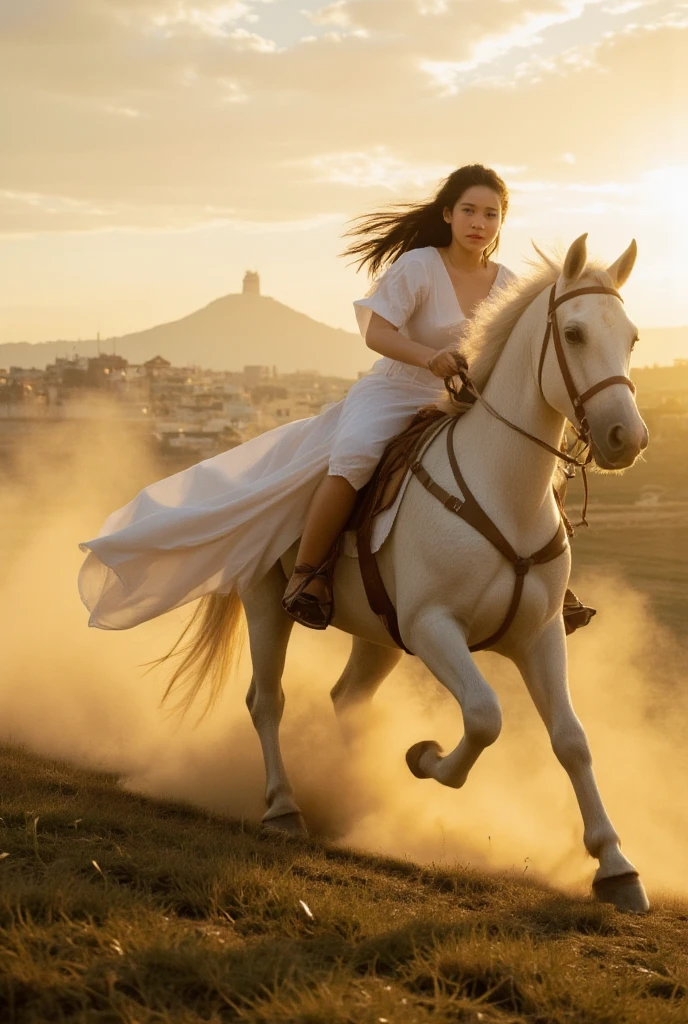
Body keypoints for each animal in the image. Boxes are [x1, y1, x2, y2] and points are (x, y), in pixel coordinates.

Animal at [161, 235, 651, 917]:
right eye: (574, 334)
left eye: (631, 337)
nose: (625, 438)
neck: (503, 490)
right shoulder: (433, 629)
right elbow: (485, 715)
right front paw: (426, 758)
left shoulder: (541, 634)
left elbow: (571, 740)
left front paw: (616, 867)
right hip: (267, 606)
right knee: (267, 700)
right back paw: (284, 807)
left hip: (378, 636)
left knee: (347, 699)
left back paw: (352, 798)